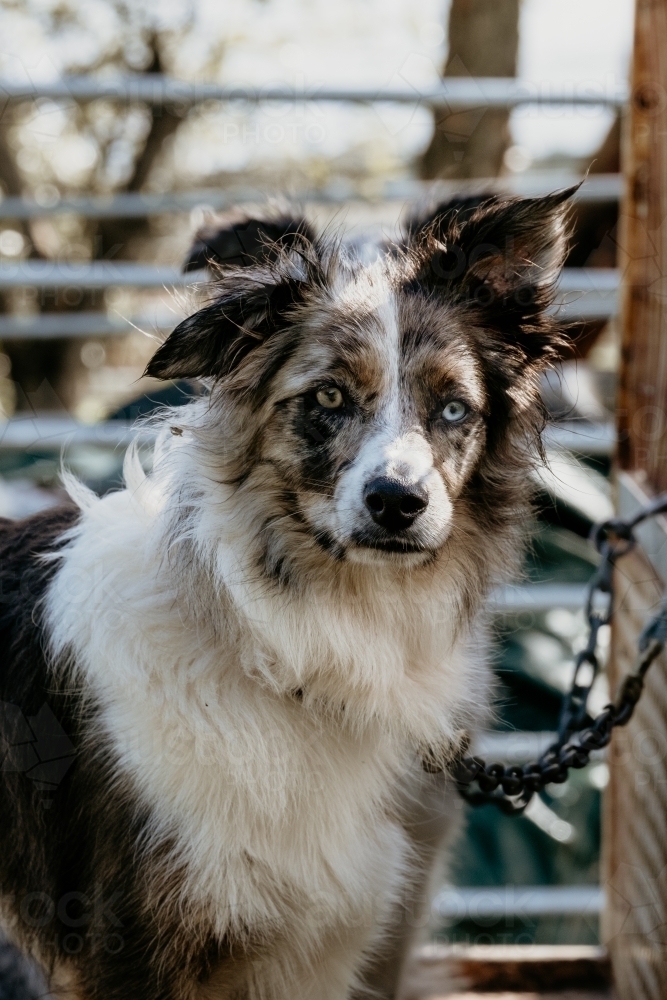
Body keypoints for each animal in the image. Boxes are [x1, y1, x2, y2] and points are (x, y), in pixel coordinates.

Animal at [0, 189, 572, 1000]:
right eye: (328, 395)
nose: (397, 503)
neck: (291, 643)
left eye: (453, 408)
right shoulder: (129, 944)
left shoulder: (369, 935)